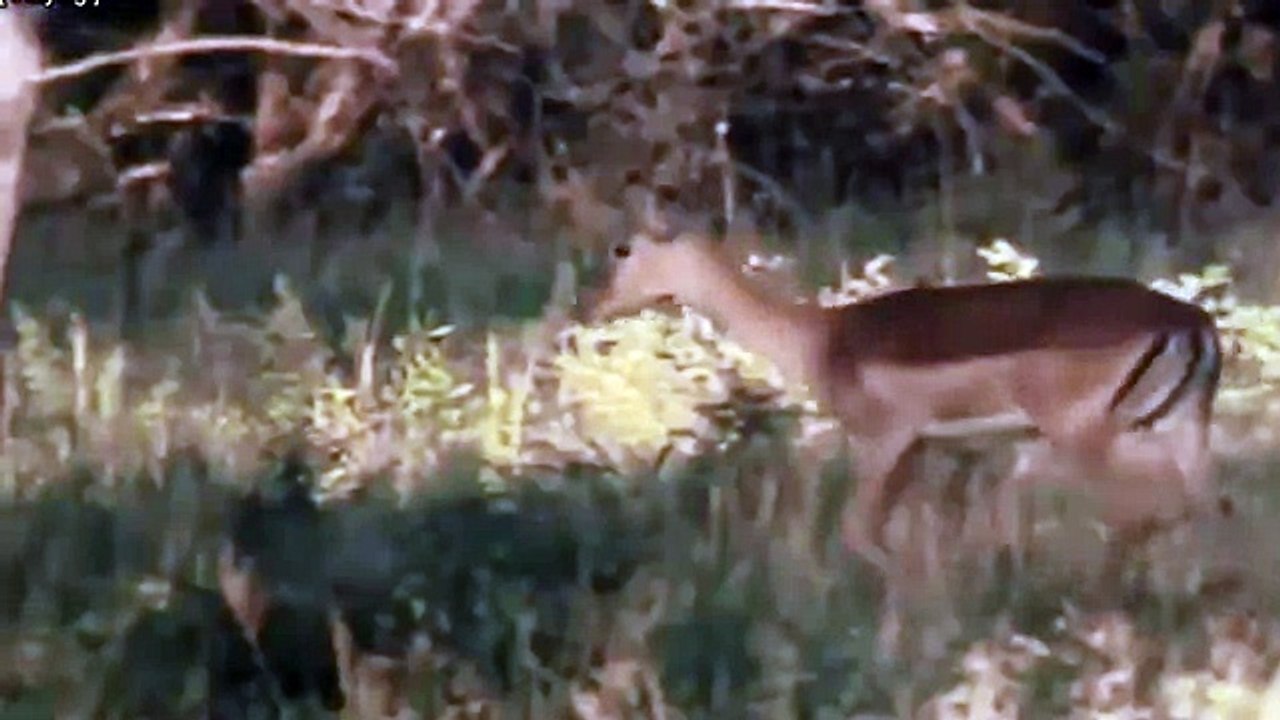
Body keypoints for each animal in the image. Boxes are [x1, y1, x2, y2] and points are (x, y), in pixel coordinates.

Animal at [584, 227, 1223, 579]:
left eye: (623, 249)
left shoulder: (883, 441)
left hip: (1091, 438)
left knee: (1132, 514)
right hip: (1178, 431)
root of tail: (1190, 322)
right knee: (1197, 508)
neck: (823, 337)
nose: (595, 305)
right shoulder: (925, 452)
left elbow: (859, 533)